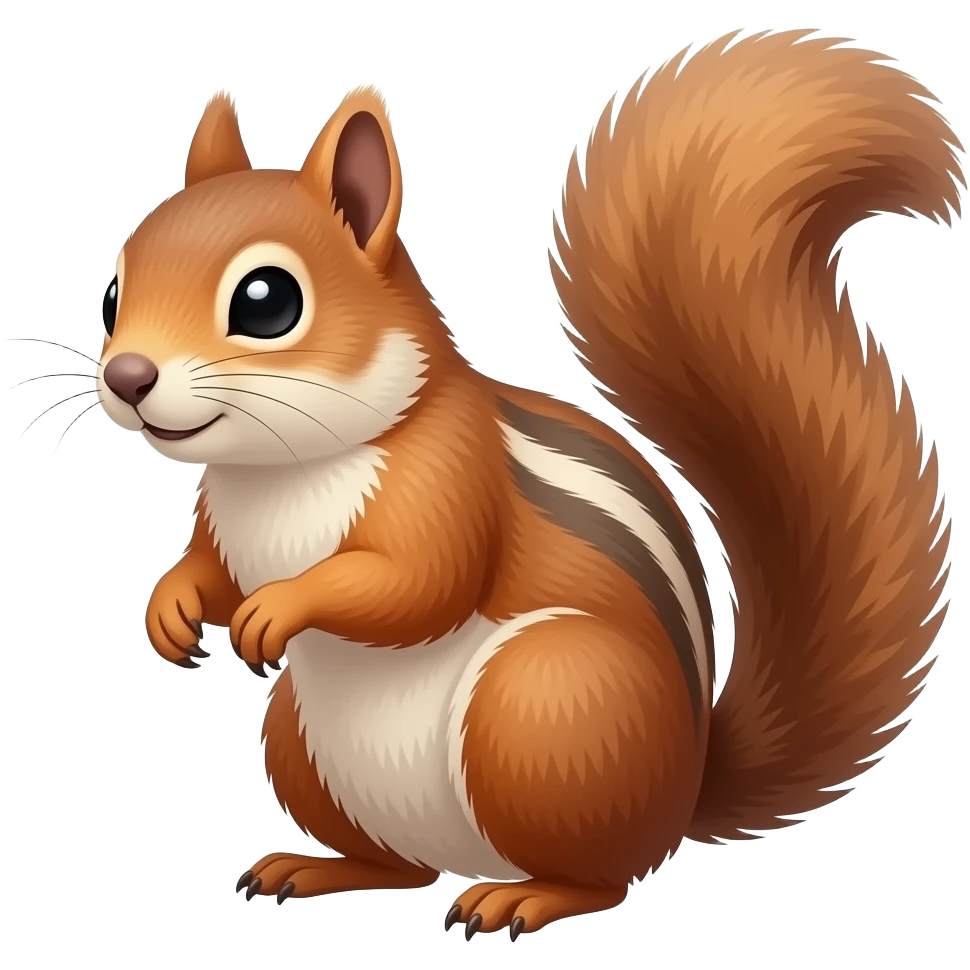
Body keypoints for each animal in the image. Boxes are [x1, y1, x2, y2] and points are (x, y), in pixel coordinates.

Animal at [94, 28, 961, 942]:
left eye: (267, 301)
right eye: (113, 291)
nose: (126, 376)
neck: (285, 470)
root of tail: (687, 788)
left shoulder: (449, 480)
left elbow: (416, 585)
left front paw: (278, 607)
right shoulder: (225, 524)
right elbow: (211, 571)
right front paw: (170, 609)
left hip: (545, 707)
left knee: (604, 876)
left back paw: (526, 897)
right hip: (301, 741)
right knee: (400, 868)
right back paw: (318, 866)